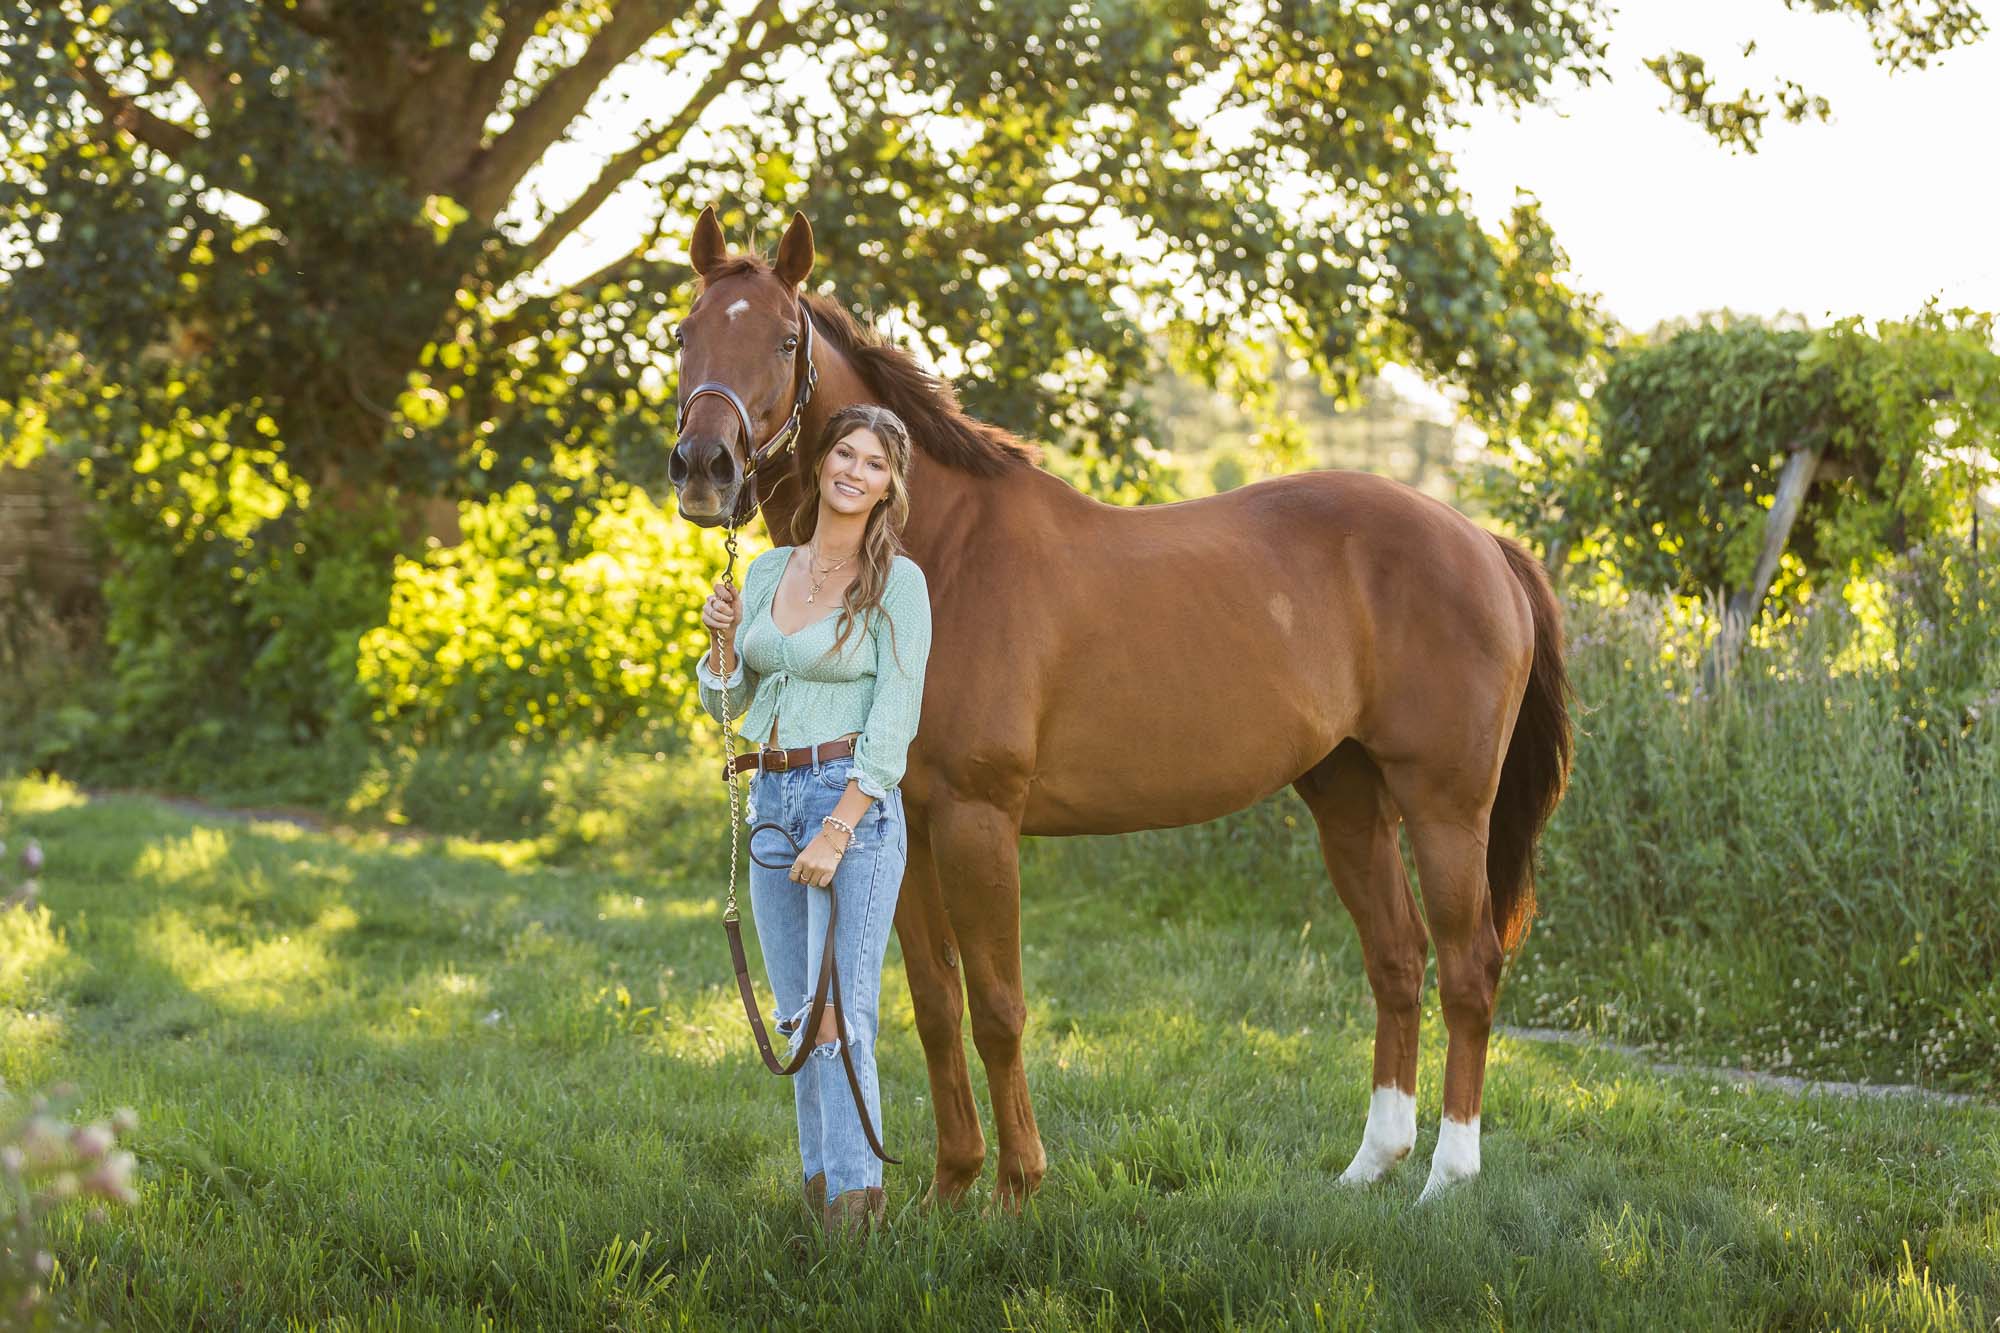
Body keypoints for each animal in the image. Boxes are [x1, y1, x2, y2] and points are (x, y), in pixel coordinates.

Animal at [664, 208, 1568, 1200]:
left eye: (785, 340)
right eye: (684, 332)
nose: (704, 466)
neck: (942, 555)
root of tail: (1479, 540)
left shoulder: (978, 819)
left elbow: (999, 1007)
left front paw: (1016, 1189)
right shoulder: (902, 824)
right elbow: (937, 1006)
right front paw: (950, 1186)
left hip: (1446, 803)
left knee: (1469, 968)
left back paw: (1448, 1175)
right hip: (1348, 797)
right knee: (1398, 960)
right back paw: (1371, 1165)